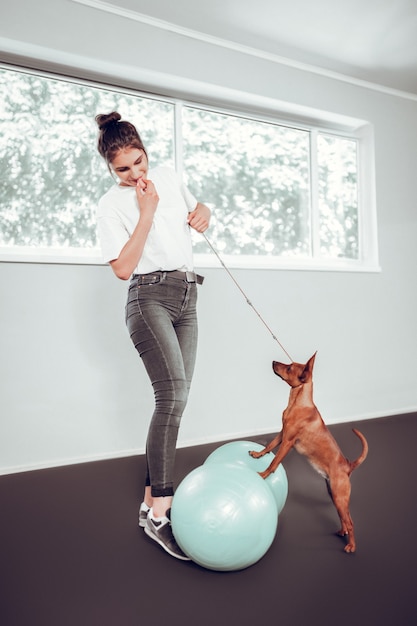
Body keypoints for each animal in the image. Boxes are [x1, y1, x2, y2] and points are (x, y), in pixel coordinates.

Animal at [249, 352, 366, 552]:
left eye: (289, 368)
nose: (273, 362)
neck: (297, 402)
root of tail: (348, 465)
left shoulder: (288, 442)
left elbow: (274, 461)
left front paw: (263, 475)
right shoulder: (282, 434)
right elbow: (269, 446)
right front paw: (257, 455)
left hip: (339, 495)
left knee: (350, 522)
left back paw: (351, 546)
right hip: (335, 496)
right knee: (344, 517)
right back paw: (342, 532)